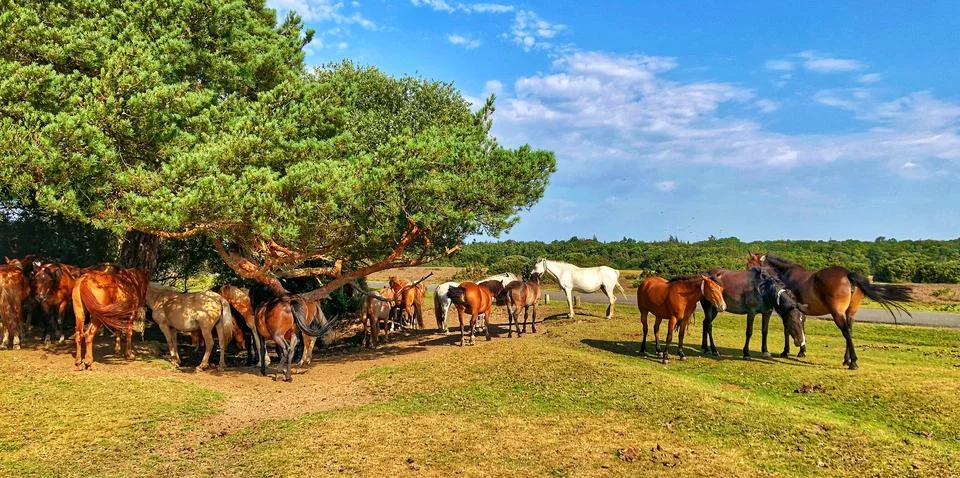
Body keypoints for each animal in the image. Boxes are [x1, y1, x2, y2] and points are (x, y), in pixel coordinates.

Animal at [749, 252, 912, 370]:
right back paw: (847, 360)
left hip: (837, 313)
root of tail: (848, 275)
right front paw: (802, 350)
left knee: (846, 332)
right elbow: (801, 326)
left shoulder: (787, 311)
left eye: (750, 264)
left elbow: (787, 329)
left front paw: (786, 351)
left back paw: (853, 362)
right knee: (849, 331)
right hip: (850, 313)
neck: (785, 275)